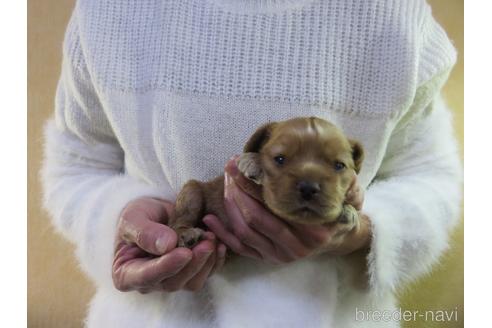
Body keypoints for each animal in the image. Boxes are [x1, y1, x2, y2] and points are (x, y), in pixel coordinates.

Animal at [167, 118, 364, 249]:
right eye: (280, 159)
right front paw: (253, 162)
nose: (309, 188)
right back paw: (187, 235)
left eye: (339, 165)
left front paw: (349, 210)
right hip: (191, 193)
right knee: (176, 223)